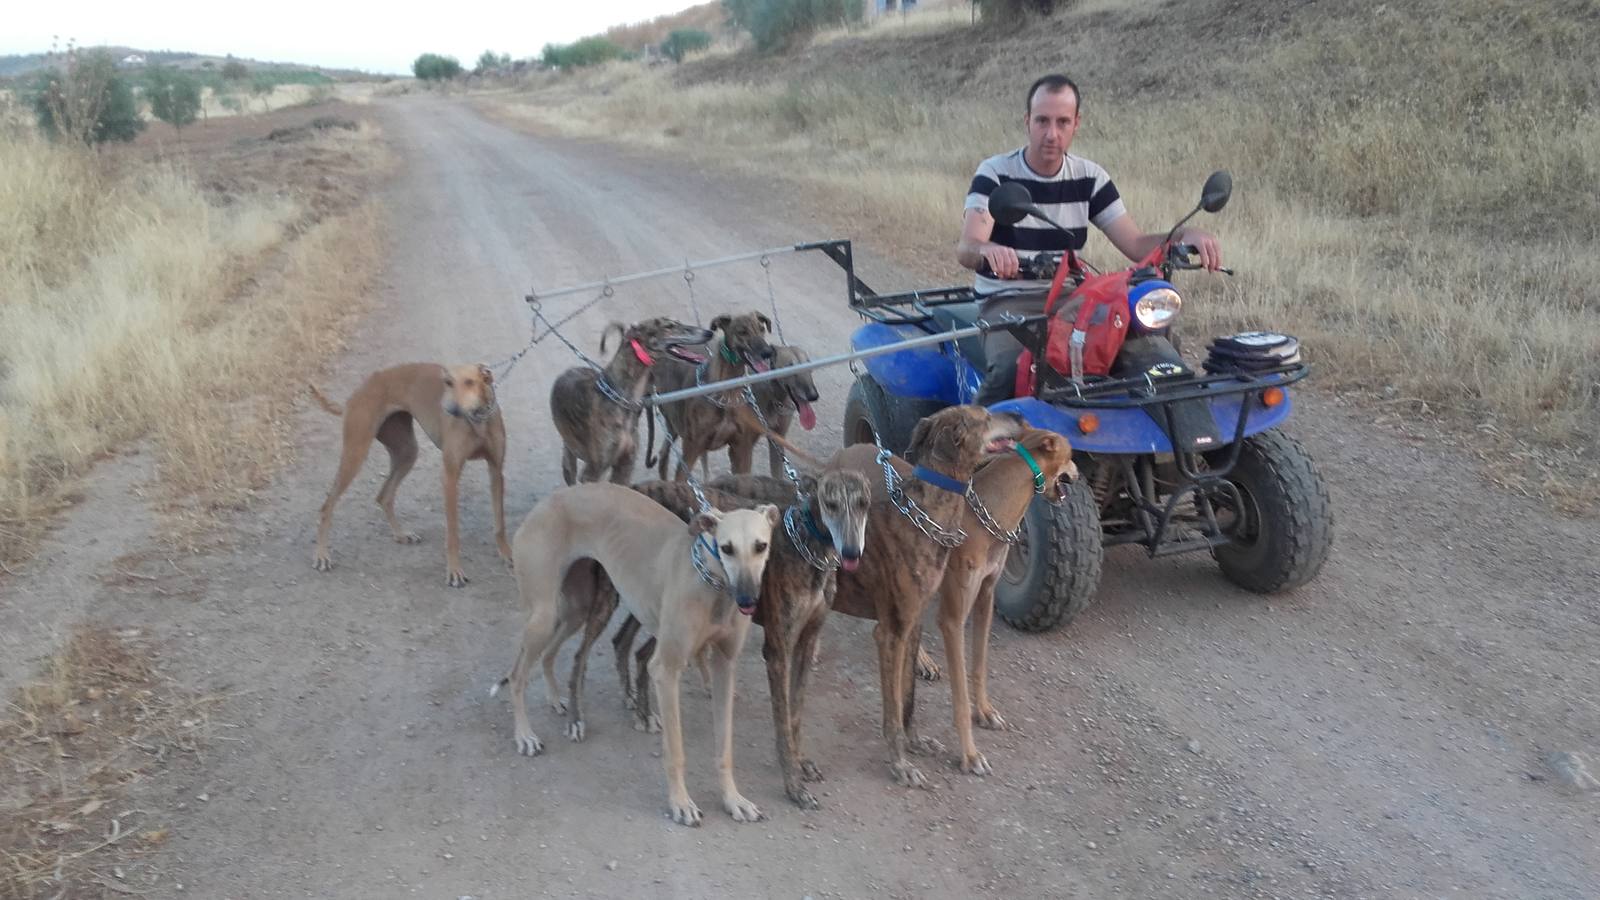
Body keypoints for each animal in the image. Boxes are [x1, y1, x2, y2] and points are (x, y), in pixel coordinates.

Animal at [308, 360, 508, 586]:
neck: (477, 421)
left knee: (383, 496)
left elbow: (500, 523)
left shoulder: (496, 470)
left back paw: (401, 534)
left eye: (469, 382)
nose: (451, 409)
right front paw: (454, 571)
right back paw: (322, 555)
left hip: (406, 453)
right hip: (356, 452)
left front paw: (507, 555)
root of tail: (356, 393)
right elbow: (452, 534)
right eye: (448, 383)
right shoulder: (450, 475)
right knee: (327, 506)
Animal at [553, 315, 716, 483]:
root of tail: (568, 371)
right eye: (669, 326)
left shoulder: (625, 465)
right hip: (571, 456)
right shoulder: (593, 471)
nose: (709, 333)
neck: (621, 397)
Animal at [649, 307, 774, 480]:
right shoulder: (692, 448)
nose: (767, 352)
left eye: (761, 329)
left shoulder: (742, 450)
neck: (727, 392)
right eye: (742, 331)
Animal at [825, 403, 1024, 787]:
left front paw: (916, 742)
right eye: (985, 416)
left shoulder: (912, 625)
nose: (1022, 416)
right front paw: (901, 764)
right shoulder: (890, 634)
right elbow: (891, 710)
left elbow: (908, 699)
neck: (924, 515)